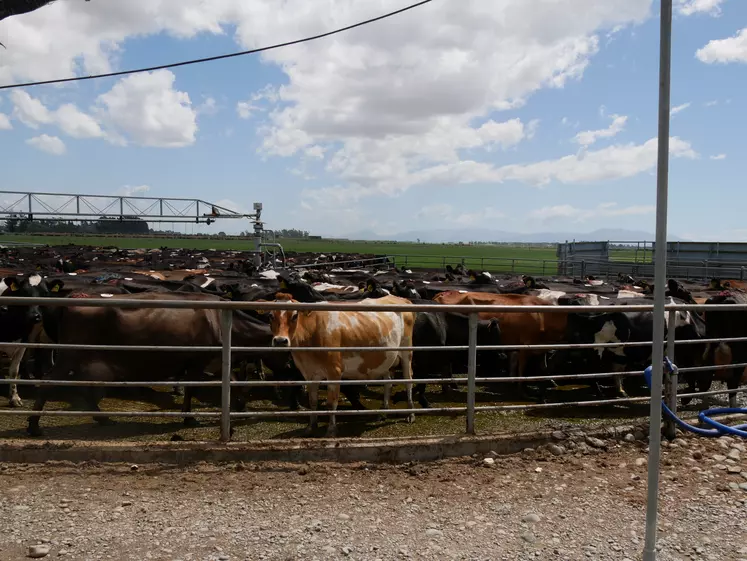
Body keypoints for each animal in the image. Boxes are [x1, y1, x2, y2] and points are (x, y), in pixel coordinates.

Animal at [268, 294, 418, 438]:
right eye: (270, 315)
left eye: (294, 315)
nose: (280, 341)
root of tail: (399, 298)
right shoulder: (310, 373)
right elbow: (312, 401)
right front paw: (311, 427)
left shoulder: (334, 371)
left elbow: (331, 403)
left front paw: (331, 430)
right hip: (386, 357)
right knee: (388, 382)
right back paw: (384, 411)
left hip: (406, 351)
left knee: (408, 380)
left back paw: (410, 413)